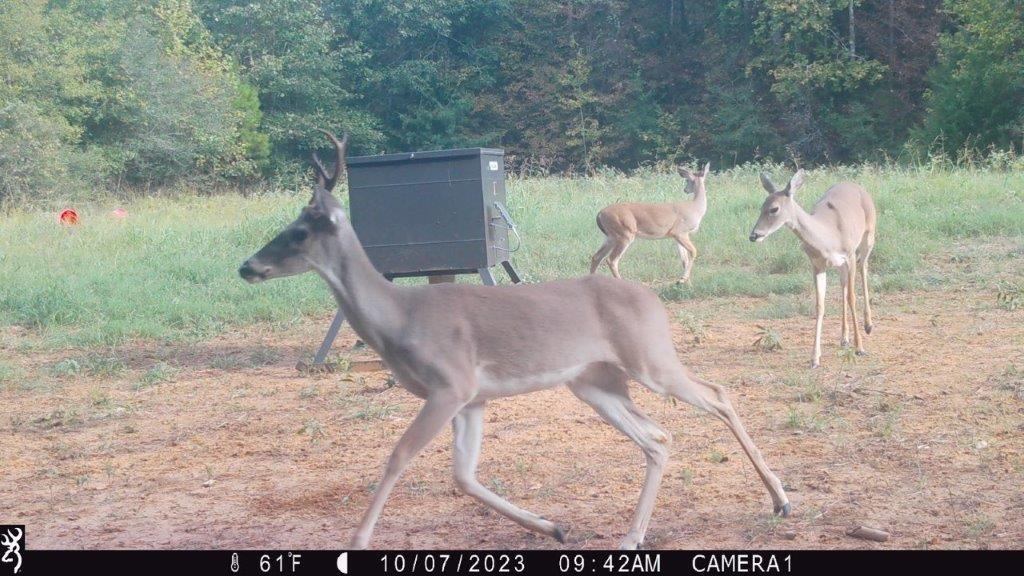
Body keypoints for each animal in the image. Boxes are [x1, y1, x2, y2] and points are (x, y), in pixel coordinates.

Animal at [239, 132, 790, 549]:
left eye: (298, 232)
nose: (246, 266)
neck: (399, 318)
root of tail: (653, 301)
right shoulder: (473, 399)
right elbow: (462, 475)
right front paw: (554, 527)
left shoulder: (451, 384)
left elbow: (399, 456)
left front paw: (356, 542)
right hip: (594, 381)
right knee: (658, 437)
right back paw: (633, 536)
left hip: (650, 359)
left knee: (716, 395)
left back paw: (781, 499)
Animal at [749, 170, 876, 366]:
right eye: (761, 206)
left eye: (774, 209)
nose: (754, 235)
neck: (829, 237)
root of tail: (855, 185)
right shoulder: (817, 265)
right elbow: (820, 305)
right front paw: (815, 358)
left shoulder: (849, 256)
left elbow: (852, 297)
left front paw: (860, 348)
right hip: (840, 265)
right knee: (843, 285)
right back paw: (844, 338)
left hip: (869, 235)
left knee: (864, 266)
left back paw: (868, 325)